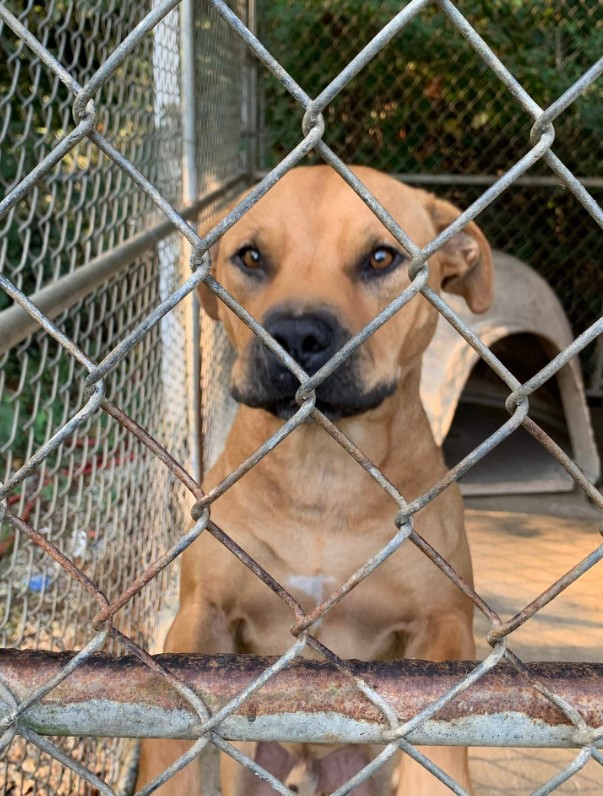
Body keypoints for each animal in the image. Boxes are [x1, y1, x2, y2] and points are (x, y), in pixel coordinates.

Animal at [138, 165, 496, 792]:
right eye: (251, 256)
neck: (322, 474)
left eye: (380, 257)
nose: (297, 335)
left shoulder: (445, 624)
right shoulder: (200, 614)